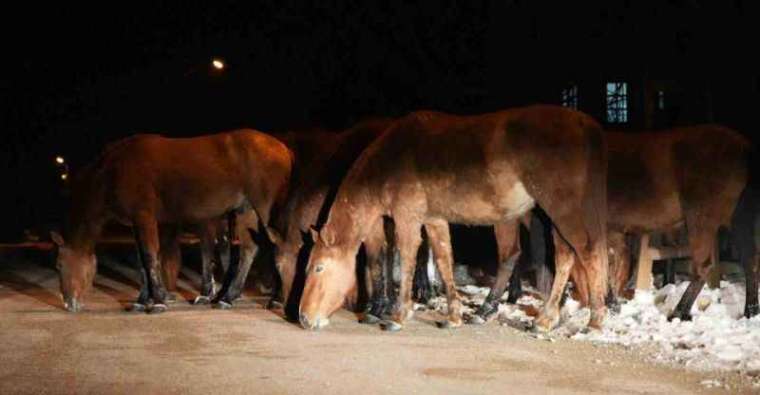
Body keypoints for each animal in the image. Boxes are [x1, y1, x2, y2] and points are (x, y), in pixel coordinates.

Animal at [49, 131, 294, 314]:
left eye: (59, 265)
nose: (68, 303)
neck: (115, 170)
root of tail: (283, 148)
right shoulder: (136, 223)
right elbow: (141, 261)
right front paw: (142, 300)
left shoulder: (145, 216)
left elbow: (149, 257)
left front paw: (158, 301)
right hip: (246, 210)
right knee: (248, 250)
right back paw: (228, 297)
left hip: (264, 208)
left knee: (278, 246)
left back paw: (276, 299)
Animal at [296, 104, 604, 332]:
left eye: (318, 268)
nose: (302, 318)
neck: (389, 161)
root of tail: (586, 126)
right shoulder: (433, 219)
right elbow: (444, 259)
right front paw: (453, 315)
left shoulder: (407, 217)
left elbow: (407, 258)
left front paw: (398, 315)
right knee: (559, 256)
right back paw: (538, 317)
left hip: (561, 211)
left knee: (588, 252)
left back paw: (594, 320)